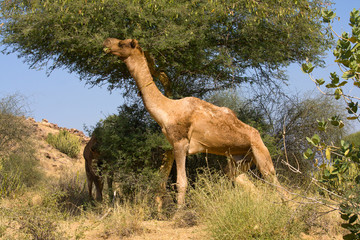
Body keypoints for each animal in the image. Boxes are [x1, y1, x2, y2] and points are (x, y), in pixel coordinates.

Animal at [102, 38, 280, 206]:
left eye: (123, 43)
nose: (106, 42)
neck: (167, 110)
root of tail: (257, 134)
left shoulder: (181, 144)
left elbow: (181, 183)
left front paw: (178, 214)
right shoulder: (175, 146)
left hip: (260, 152)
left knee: (275, 182)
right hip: (240, 159)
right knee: (248, 184)